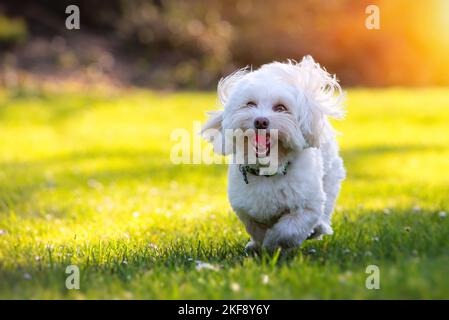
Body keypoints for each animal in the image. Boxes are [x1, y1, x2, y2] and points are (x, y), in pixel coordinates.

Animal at [201, 57, 344, 252]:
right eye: (250, 104)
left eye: (280, 108)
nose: (261, 121)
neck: (268, 170)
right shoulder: (246, 210)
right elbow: (257, 229)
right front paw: (261, 245)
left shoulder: (308, 206)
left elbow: (287, 231)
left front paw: (274, 245)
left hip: (330, 176)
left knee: (326, 205)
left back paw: (319, 228)